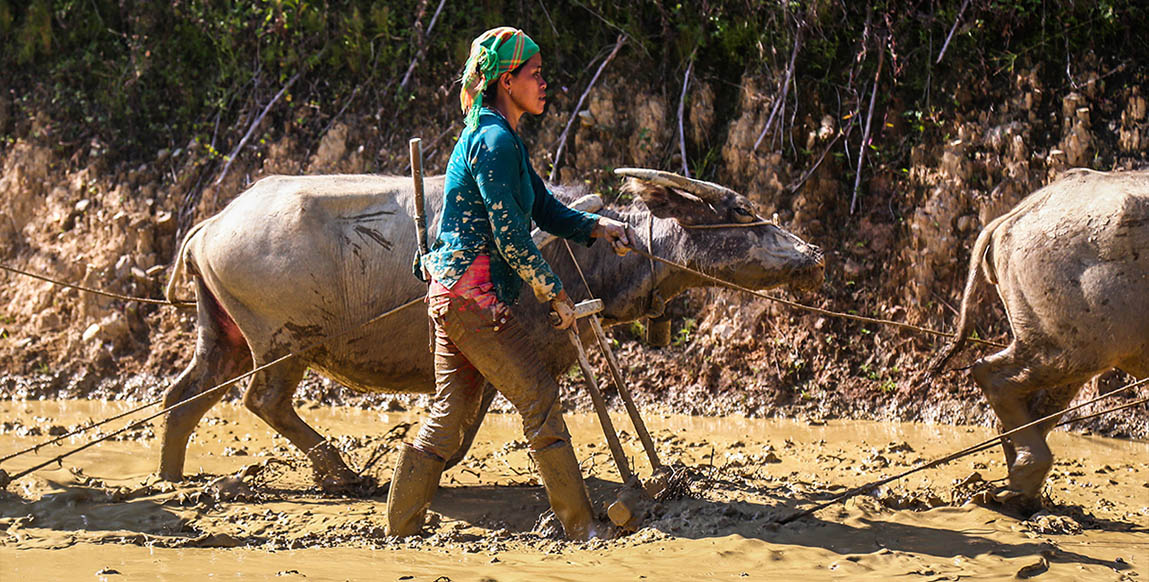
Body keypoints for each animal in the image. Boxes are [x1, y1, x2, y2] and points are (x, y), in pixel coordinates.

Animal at [162, 169, 827, 491]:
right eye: (741, 210)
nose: (814, 254)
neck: (580, 253)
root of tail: (214, 223)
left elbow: (468, 420)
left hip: (223, 336)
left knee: (184, 395)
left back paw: (171, 475)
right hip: (284, 342)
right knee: (262, 399)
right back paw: (344, 475)